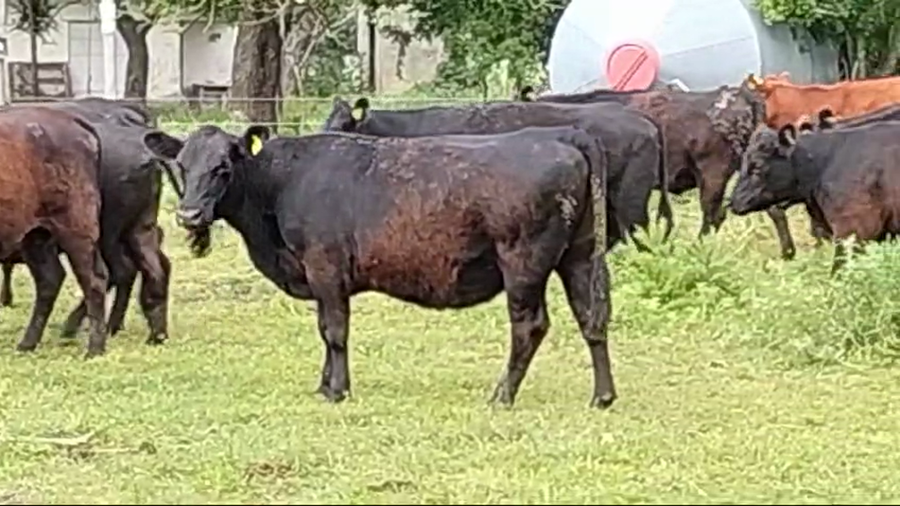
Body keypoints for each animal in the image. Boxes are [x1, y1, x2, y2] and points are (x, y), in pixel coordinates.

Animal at [0, 107, 108, 357]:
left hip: (75, 230)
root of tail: (70, 119)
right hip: (35, 236)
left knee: (94, 280)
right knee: (49, 279)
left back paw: (94, 349)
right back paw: (27, 344)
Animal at [143, 124, 617, 409]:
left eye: (223, 167)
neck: (280, 184)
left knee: (530, 326)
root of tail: (561, 134)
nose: (189, 215)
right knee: (592, 318)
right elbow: (325, 330)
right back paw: (602, 396)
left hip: (523, 263)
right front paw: (324, 385)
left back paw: (502, 394)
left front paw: (337, 390)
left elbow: (334, 332)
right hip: (578, 257)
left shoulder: (325, 268)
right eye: (181, 165)